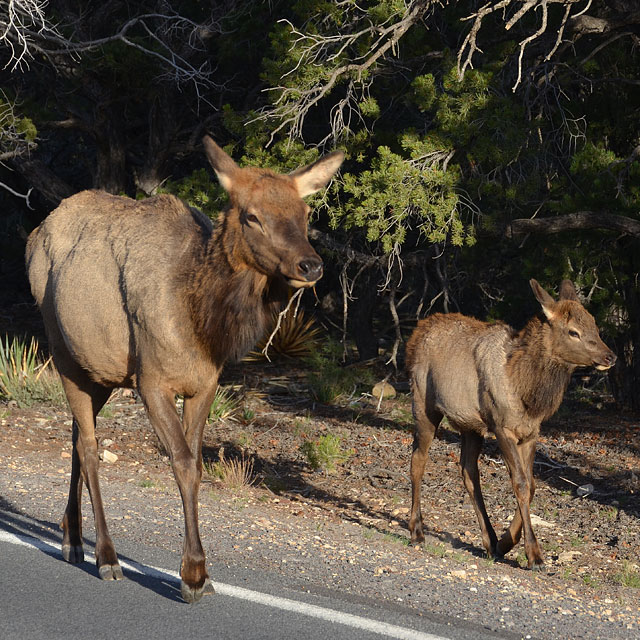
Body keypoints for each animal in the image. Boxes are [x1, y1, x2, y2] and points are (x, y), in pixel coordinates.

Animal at [25, 138, 342, 604]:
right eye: (252, 215)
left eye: (304, 214)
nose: (310, 266)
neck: (202, 320)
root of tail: (34, 234)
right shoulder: (152, 381)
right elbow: (184, 463)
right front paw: (192, 573)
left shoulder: (205, 384)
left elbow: (197, 466)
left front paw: (199, 573)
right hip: (63, 352)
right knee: (89, 446)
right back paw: (106, 556)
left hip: (100, 372)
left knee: (75, 436)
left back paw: (71, 536)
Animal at [404, 278, 616, 568]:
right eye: (573, 332)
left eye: (594, 323)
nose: (610, 356)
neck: (526, 392)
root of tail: (416, 333)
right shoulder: (501, 427)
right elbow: (521, 484)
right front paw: (534, 554)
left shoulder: (530, 432)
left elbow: (532, 485)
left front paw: (506, 542)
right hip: (424, 405)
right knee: (418, 459)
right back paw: (417, 530)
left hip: (470, 426)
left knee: (468, 472)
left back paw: (490, 541)